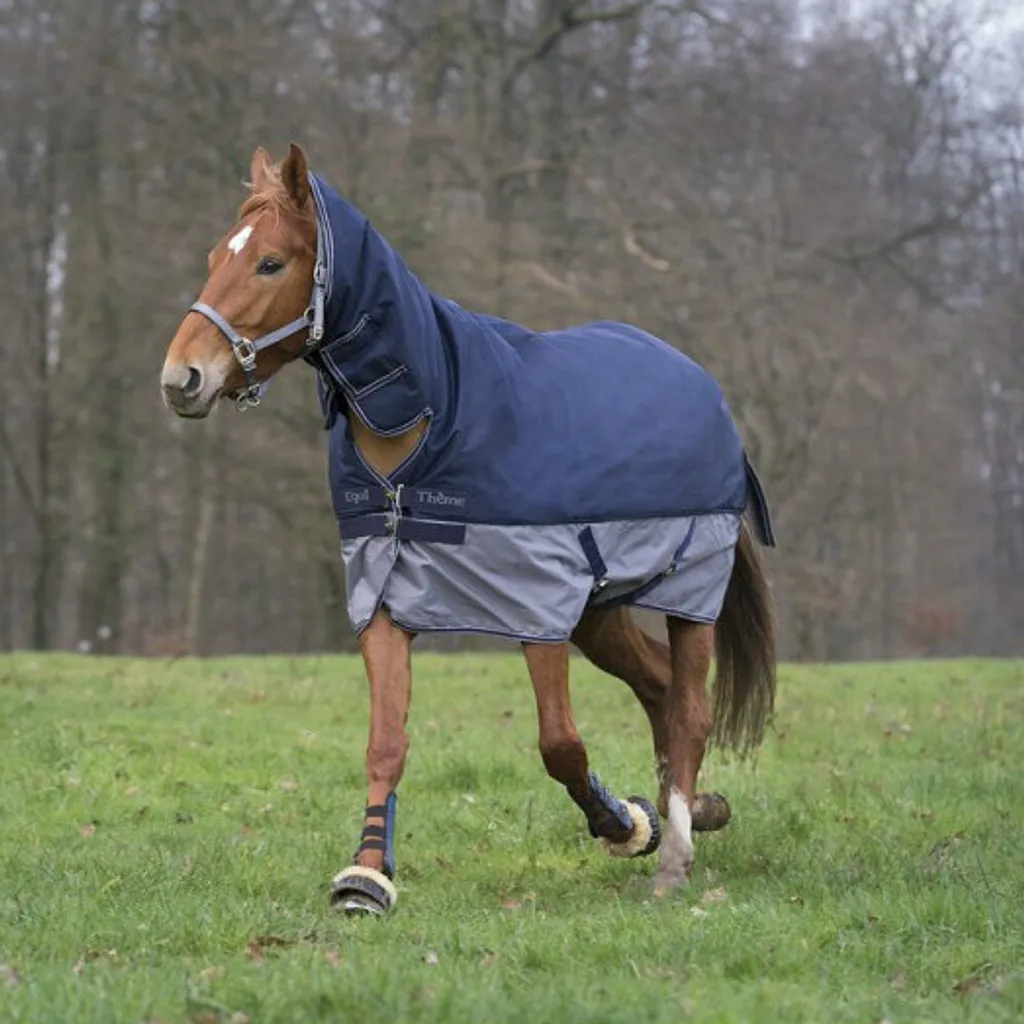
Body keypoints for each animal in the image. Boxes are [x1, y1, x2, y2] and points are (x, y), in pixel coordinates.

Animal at [160, 143, 777, 916]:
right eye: (218, 255)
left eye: (270, 263)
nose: (180, 378)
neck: (435, 419)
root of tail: (704, 387)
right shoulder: (383, 599)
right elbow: (386, 742)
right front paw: (366, 876)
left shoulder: (537, 605)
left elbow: (560, 744)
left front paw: (622, 824)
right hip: (598, 614)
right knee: (661, 689)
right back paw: (692, 809)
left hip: (689, 594)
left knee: (691, 707)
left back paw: (674, 853)